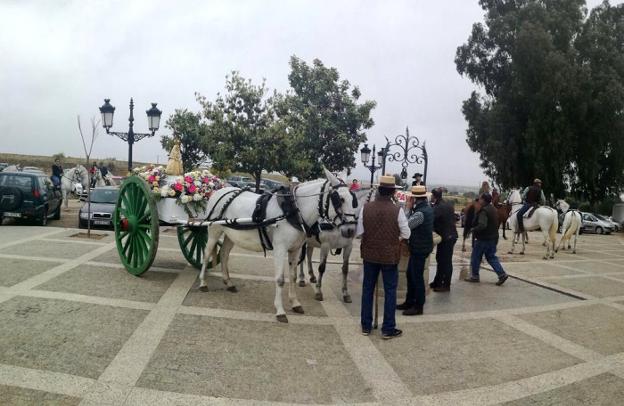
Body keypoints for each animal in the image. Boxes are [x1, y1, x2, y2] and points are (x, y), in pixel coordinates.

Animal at [200, 170, 356, 322]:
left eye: (353, 198)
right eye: (340, 199)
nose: (351, 230)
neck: (293, 211)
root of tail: (220, 191)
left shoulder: (295, 250)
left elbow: (292, 277)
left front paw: (295, 303)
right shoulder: (280, 249)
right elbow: (280, 279)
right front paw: (280, 311)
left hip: (231, 235)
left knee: (224, 254)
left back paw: (228, 282)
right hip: (214, 231)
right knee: (206, 254)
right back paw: (203, 283)